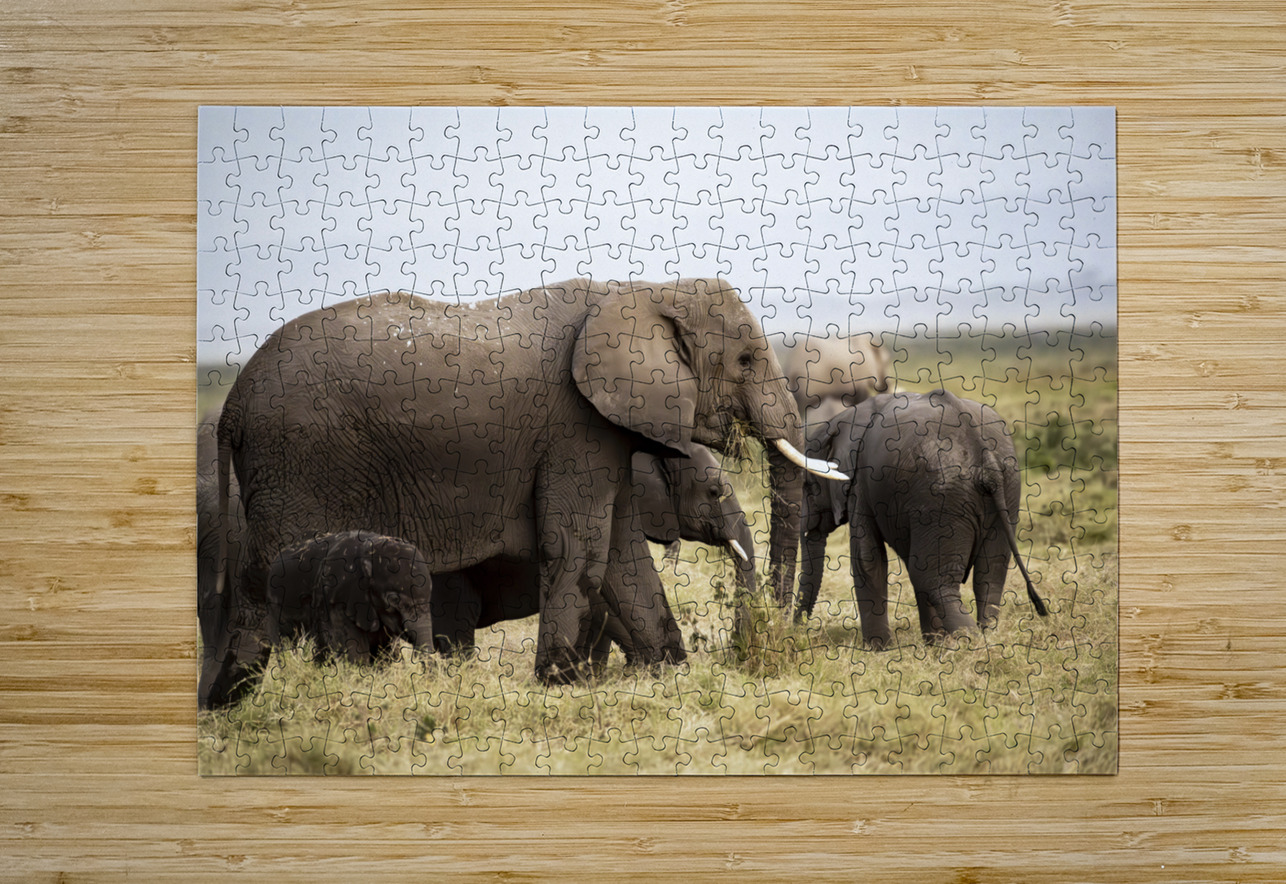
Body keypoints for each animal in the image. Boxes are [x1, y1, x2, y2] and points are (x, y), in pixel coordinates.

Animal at [797, 390, 1048, 648]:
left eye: (807, 486)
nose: (798, 627)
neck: (843, 419)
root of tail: (983, 452)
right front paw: (933, 643)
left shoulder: (861, 484)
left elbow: (868, 558)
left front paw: (879, 649)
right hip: (1007, 487)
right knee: (989, 576)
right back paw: (986, 639)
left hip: (943, 496)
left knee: (933, 580)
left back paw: (969, 644)